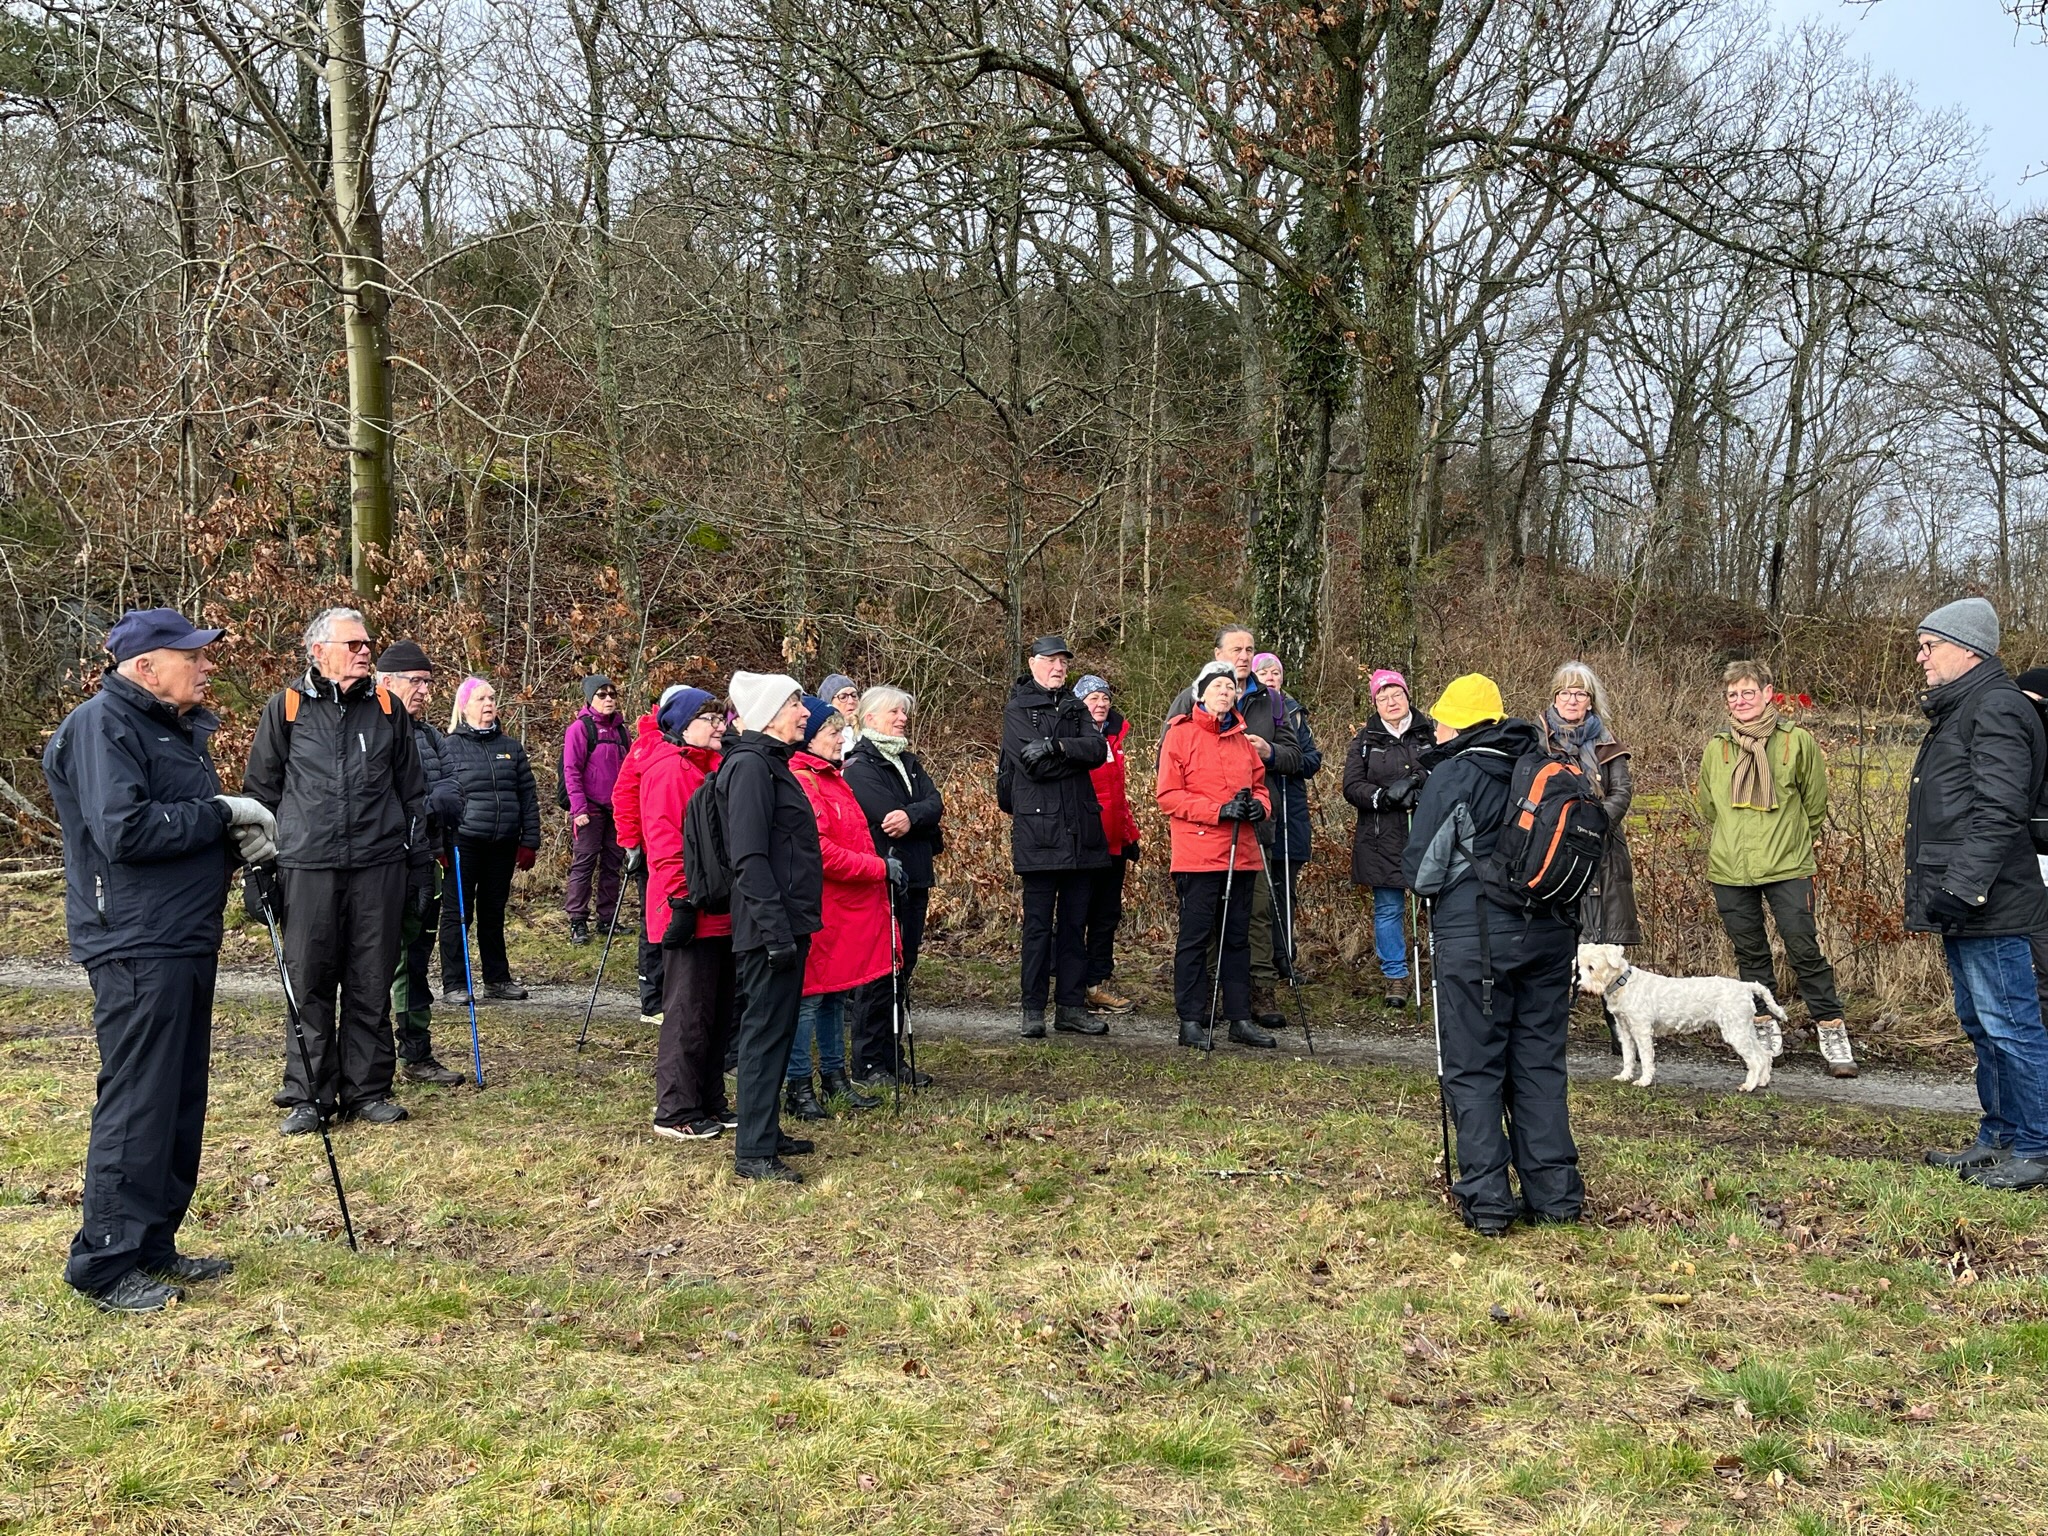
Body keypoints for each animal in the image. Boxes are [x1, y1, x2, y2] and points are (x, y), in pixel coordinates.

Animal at [1575, 943, 1787, 1093]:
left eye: (1592, 967)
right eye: (1579, 966)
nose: (1578, 986)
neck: (1624, 984)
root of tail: (1746, 986)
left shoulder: (1641, 1030)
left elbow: (1645, 1058)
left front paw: (1644, 1081)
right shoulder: (1624, 1030)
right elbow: (1628, 1056)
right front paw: (1624, 1076)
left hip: (1735, 1031)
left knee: (1756, 1059)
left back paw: (1748, 1086)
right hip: (1744, 1029)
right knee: (1764, 1055)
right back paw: (1762, 1082)